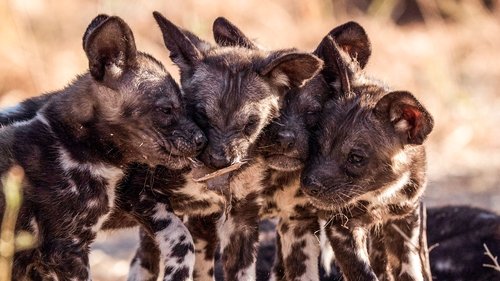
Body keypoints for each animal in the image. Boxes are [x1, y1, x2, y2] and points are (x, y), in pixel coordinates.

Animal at [123, 11, 322, 280]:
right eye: (201, 115)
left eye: (251, 123)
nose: (221, 162)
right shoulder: (139, 195)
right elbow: (178, 241)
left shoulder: (241, 223)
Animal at [300, 29, 434, 278]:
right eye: (317, 144)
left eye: (356, 158)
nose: (309, 186)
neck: (380, 194)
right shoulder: (342, 228)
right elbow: (364, 274)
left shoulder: (404, 221)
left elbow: (411, 272)